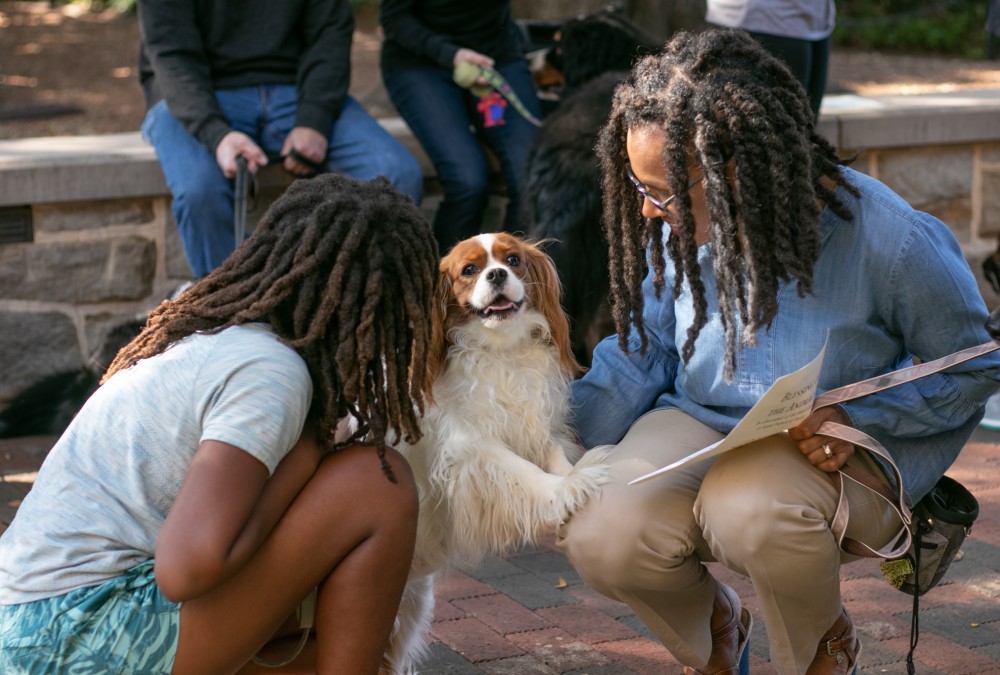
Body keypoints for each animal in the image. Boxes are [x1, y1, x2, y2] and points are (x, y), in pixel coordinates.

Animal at [386, 234, 608, 675]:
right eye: (469, 270)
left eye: (513, 260)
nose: (497, 274)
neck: (500, 351)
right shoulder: (471, 446)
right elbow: (524, 471)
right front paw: (565, 491)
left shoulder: (532, 425)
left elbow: (553, 455)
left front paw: (575, 474)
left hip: (414, 596)